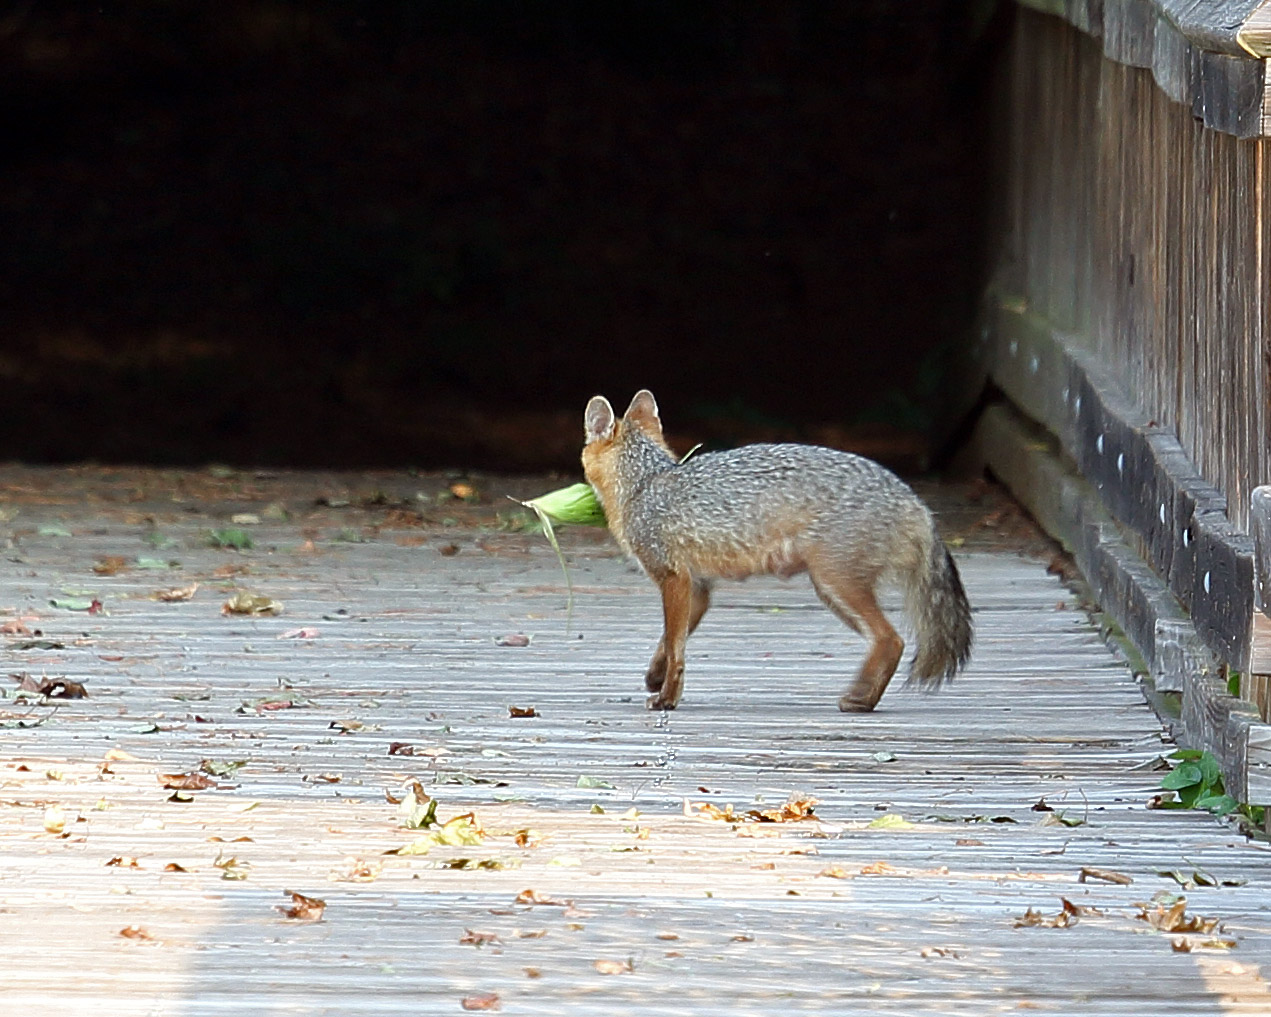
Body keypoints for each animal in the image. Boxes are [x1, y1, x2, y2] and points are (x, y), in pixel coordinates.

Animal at [581, 389, 972, 712]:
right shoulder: (698, 588)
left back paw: (860, 700)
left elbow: (677, 649)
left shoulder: (673, 578)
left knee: (892, 640)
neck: (644, 484)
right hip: (832, 592)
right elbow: (667, 642)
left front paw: (667, 699)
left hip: (834, 585)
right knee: (888, 641)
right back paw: (866, 698)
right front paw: (655, 676)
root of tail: (913, 499)